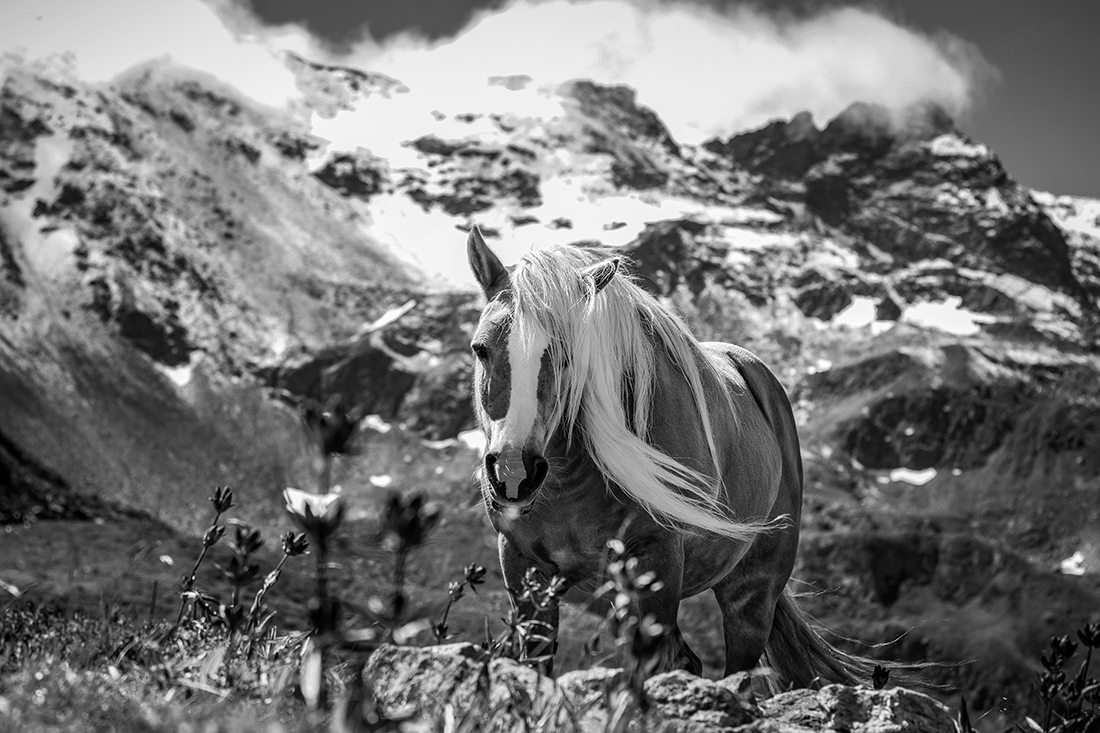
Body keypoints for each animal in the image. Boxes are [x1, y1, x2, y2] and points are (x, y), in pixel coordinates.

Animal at [465, 226, 877, 687]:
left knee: (737, 667)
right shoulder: (523, 567)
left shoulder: (656, 563)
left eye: (568, 354)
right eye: (481, 349)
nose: (513, 472)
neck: (569, 486)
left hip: (751, 593)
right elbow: (535, 663)